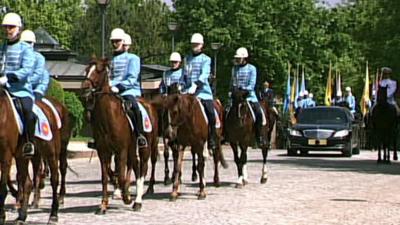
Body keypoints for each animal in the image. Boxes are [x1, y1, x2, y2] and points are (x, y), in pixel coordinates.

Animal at [80, 57, 159, 213]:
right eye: (87, 70)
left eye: (99, 70)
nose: (85, 87)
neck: (108, 117)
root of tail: (149, 105)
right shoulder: (103, 151)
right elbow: (106, 176)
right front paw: (103, 205)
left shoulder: (121, 150)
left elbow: (121, 176)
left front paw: (126, 197)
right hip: (131, 148)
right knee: (134, 166)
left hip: (145, 147)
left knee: (142, 169)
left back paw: (137, 201)